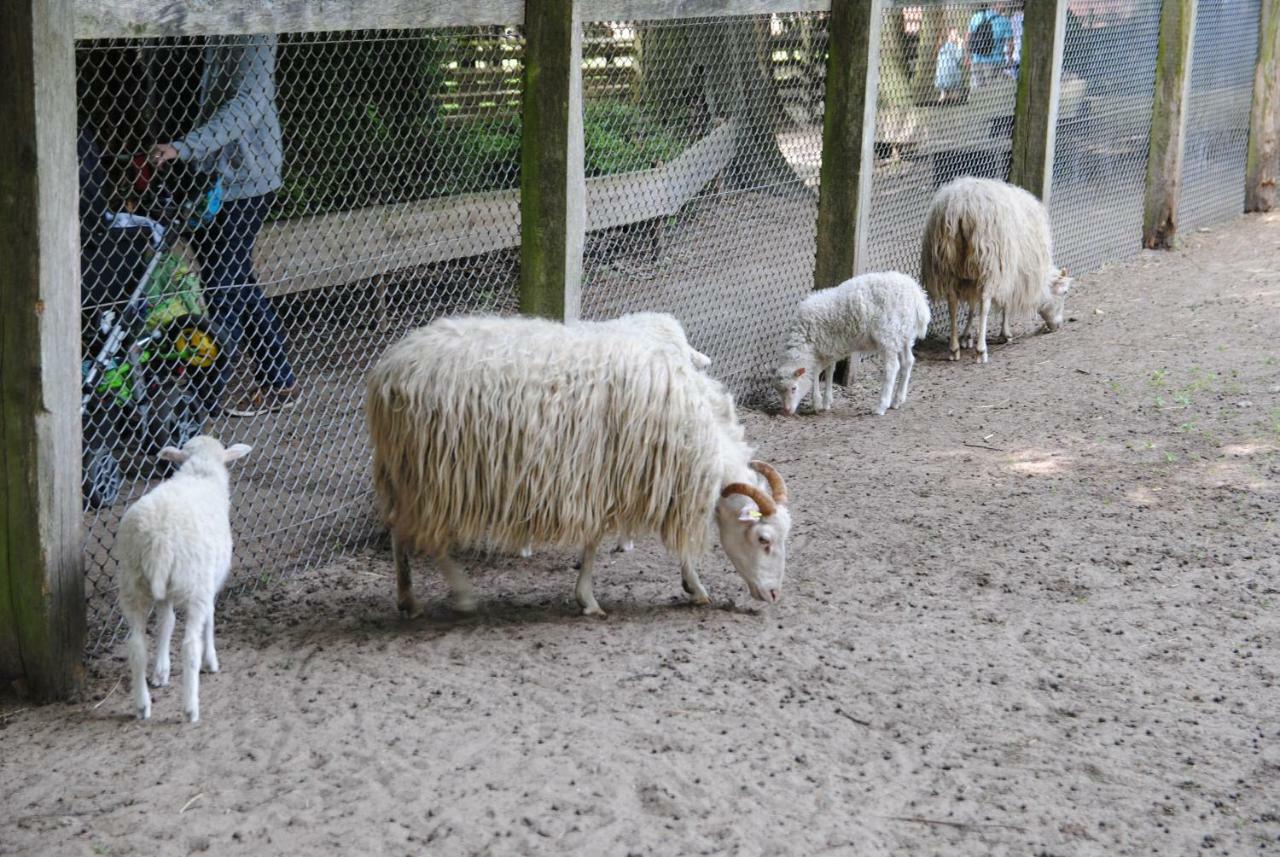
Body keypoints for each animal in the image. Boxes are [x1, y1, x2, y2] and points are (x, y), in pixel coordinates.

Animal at [117, 437, 252, 726]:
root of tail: (159, 539)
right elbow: (210, 619)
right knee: (190, 646)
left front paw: (161, 672)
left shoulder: (166, 594)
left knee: (136, 646)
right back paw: (191, 708)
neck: (201, 472)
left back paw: (142, 705)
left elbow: (166, 624)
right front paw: (211, 661)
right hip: (194, 583)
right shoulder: (208, 583)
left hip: (133, 583)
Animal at [366, 315, 793, 619]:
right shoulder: (614, 479)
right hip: (432, 472)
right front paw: (589, 599)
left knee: (399, 529)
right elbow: (596, 542)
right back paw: (462, 596)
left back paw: (407, 599)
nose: (774, 594)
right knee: (425, 535)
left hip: (408, 470)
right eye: (763, 539)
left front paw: (692, 586)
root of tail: (388, 371)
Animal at [768, 268, 931, 416]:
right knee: (908, 362)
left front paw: (817, 403)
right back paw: (897, 400)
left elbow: (817, 373)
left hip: (888, 335)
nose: (786, 411)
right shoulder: (829, 349)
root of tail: (917, 296)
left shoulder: (824, 347)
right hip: (904, 334)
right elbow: (829, 371)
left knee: (892, 368)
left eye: (794, 388)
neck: (804, 340)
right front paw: (826, 401)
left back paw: (881, 406)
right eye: (777, 389)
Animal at [921, 173, 1070, 363]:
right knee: (984, 303)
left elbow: (971, 307)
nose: (1058, 326)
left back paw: (954, 349)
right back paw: (981, 350)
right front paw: (1005, 333)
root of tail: (962, 207)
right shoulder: (1012, 274)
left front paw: (966, 336)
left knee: (952, 302)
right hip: (990, 263)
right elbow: (1005, 304)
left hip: (946, 264)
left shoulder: (972, 276)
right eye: (1064, 293)